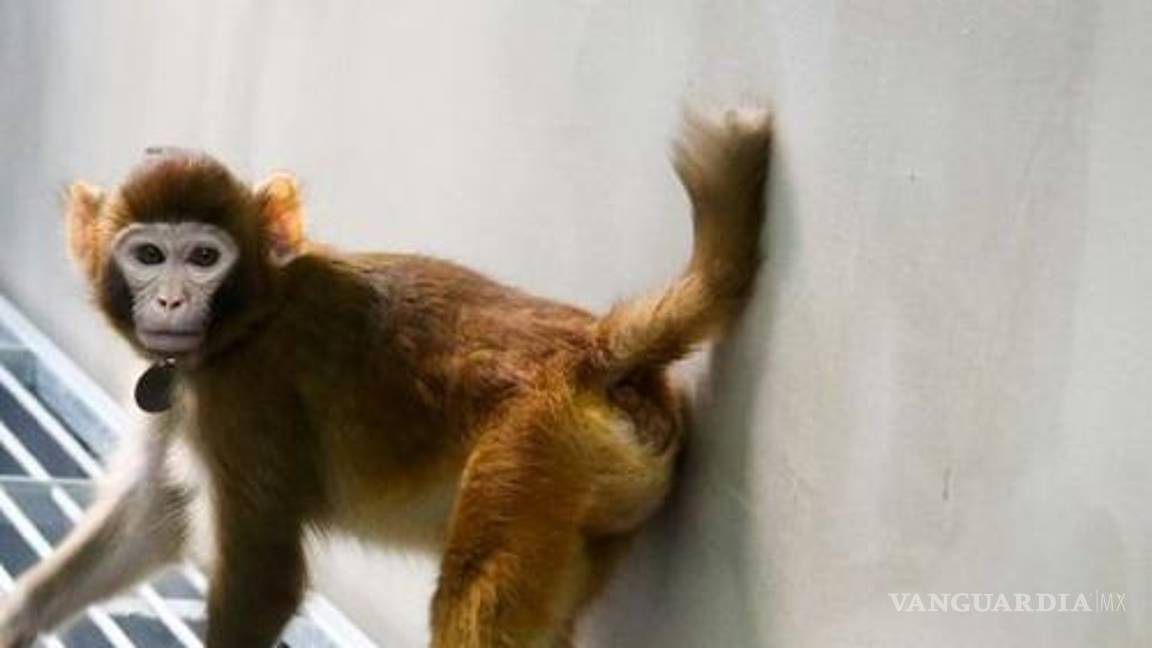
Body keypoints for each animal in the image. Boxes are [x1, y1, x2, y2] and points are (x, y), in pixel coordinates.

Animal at [0, 109, 771, 648]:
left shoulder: (243, 399)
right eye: (150, 256)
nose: (167, 301)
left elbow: (263, 580)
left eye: (203, 258)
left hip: (534, 455)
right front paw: (19, 617)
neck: (250, 316)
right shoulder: (185, 391)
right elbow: (152, 518)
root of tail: (594, 350)